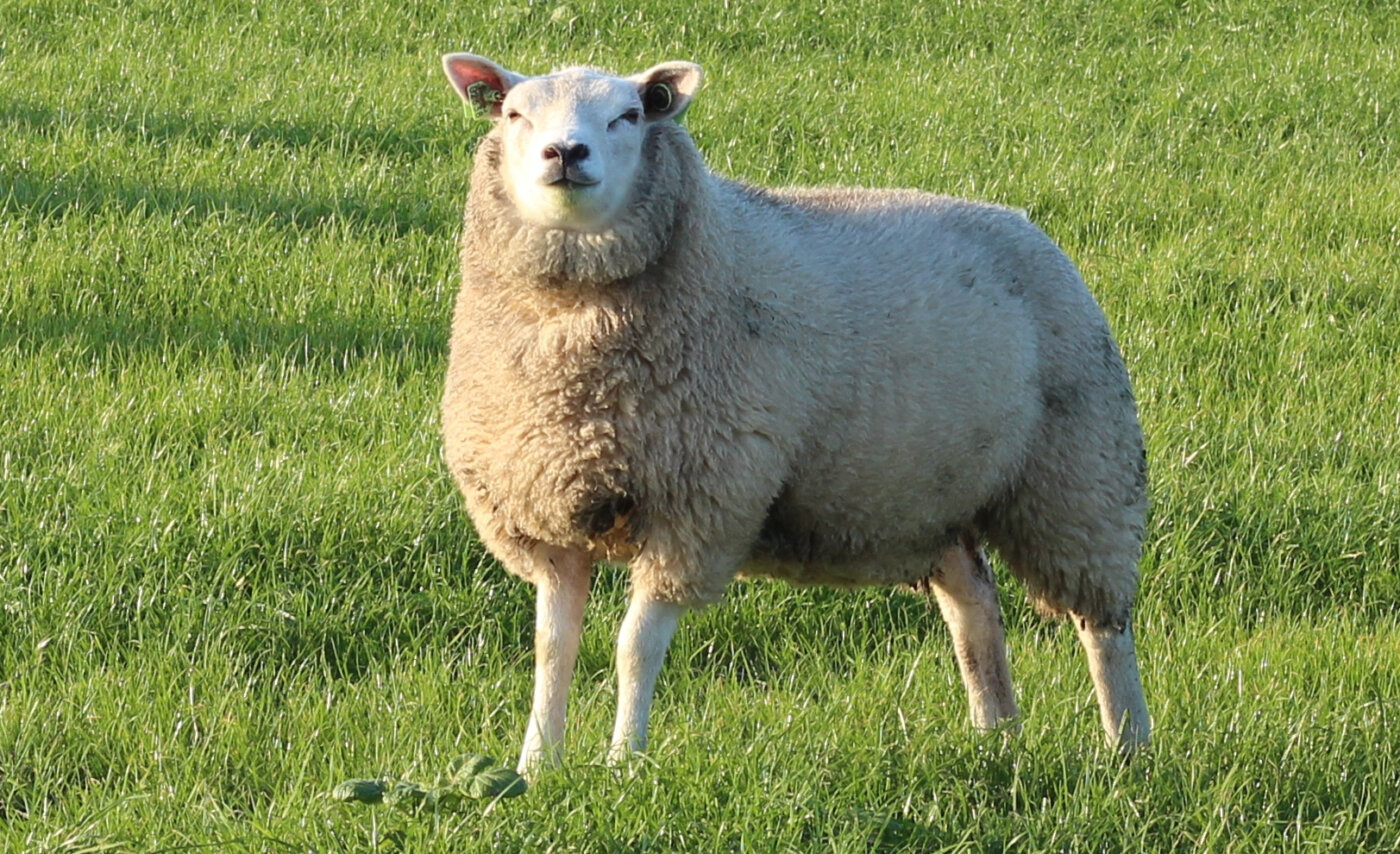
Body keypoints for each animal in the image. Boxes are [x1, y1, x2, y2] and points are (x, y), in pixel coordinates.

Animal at [436, 53, 1148, 772]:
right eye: (514, 113)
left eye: (629, 115)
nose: (565, 153)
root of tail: (1024, 223)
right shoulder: (545, 510)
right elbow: (553, 650)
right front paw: (536, 766)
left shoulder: (699, 512)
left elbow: (635, 647)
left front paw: (624, 764)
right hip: (927, 496)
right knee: (974, 603)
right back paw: (995, 734)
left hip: (1081, 472)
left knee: (1105, 627)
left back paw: (1127, 746)